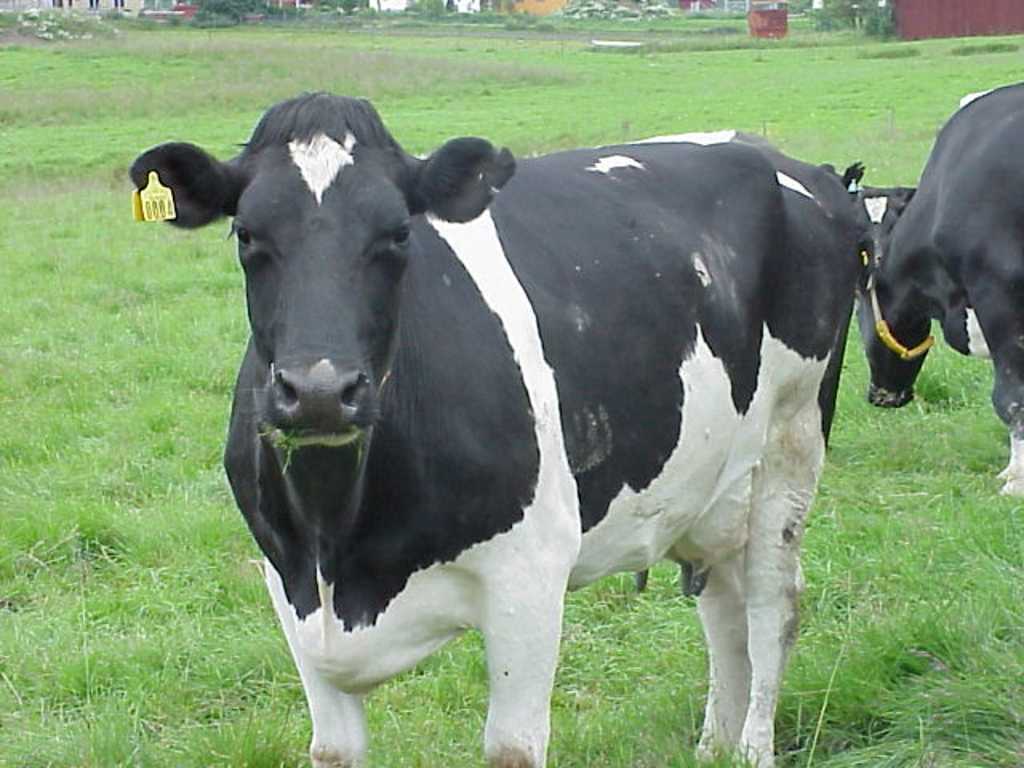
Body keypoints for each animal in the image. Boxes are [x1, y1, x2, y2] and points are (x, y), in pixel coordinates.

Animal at [131, 93, 863, 768]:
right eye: (247, 236)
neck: (341, 545)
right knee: (723, 608)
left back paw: (752, 746)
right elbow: (334, 750)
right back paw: (714, 746)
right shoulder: (290, 589)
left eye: (398, 235)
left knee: (771, 604)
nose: (318, 392)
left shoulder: (529, 574)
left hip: (792, 441)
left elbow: (512, 747)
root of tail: (782, 158)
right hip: (708, 483)